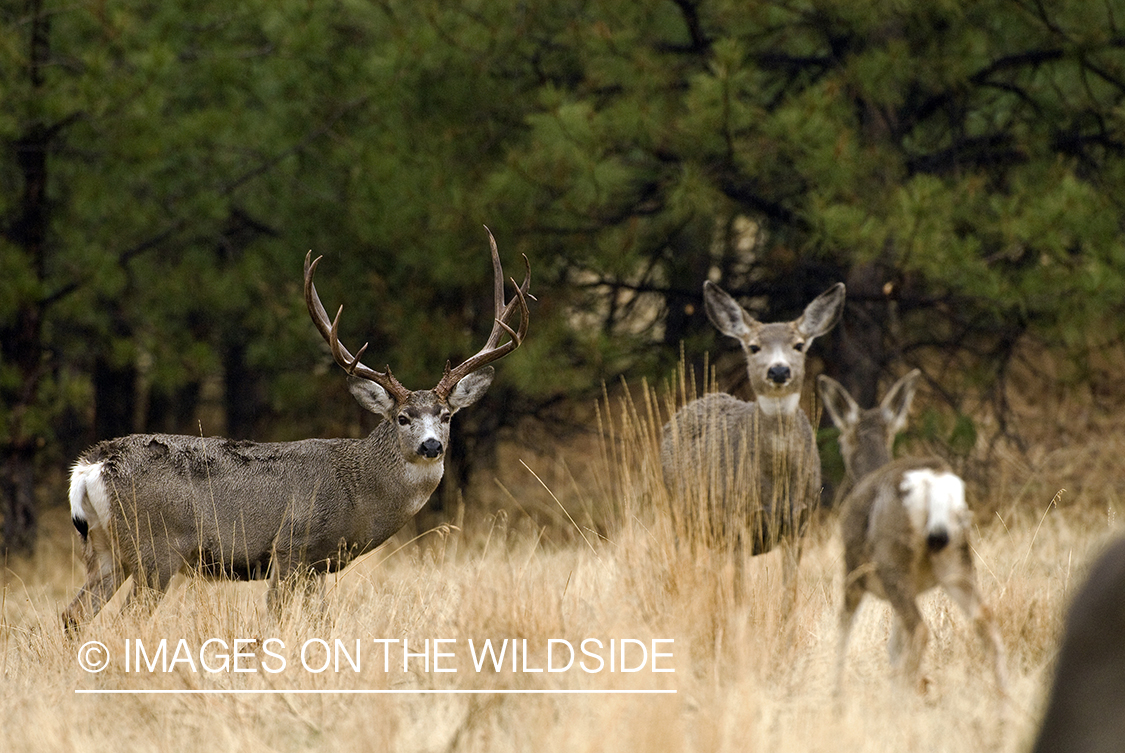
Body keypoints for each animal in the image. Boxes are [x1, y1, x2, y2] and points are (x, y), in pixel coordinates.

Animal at [61, 230, 530, 634]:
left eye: (447, 415)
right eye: (402, 417)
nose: (431, 445)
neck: (359, 492)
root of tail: (91, 466)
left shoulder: (318, 565)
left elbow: (321, 621)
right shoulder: (291, 547)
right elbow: (275, 618)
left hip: (104, 551)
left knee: (72, 616)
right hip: (154, 550)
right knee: (122, 621)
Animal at [660, 281, 846, 587]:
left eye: (798, 345)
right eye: (754, 347)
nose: (779, 370)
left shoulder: (800, 522)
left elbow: (789, 590)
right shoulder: (736, 521)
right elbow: (739, 587)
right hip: (681, 514)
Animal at [817, 369, 1006, 696]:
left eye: (841, 438)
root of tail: (932, 483)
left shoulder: (852, 569)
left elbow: (844, 628)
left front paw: (836, 695)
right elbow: (894, 646)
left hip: (891, 559)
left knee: (919, 630)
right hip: (956, 558)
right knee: (985, 620)